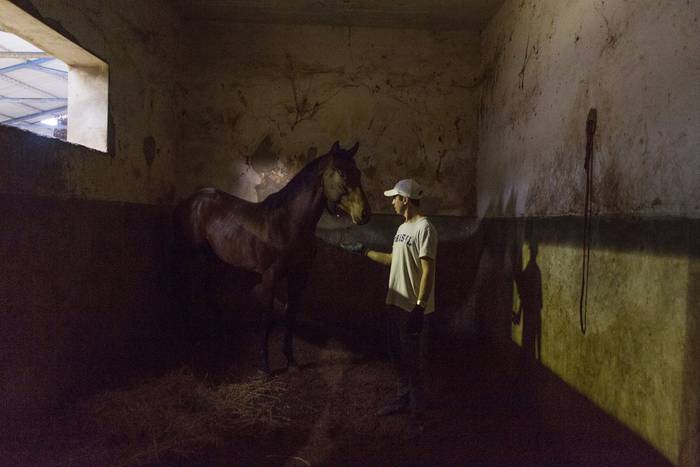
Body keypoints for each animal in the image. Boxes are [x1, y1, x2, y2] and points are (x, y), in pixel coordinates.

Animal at [174, 141, 372, 374]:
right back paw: (191, 335)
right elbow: (267, 318)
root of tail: (190, 201)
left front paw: (291, 361)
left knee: (208, 290)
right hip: (193, 258)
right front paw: (265, 366)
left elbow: (291, 314)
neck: (288, 223)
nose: (364, 214)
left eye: (358, 172)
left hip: (215, 260)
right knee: (185, 290)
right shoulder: (270, 277)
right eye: (341, 172)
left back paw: (221, 329)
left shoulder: (299, 275)